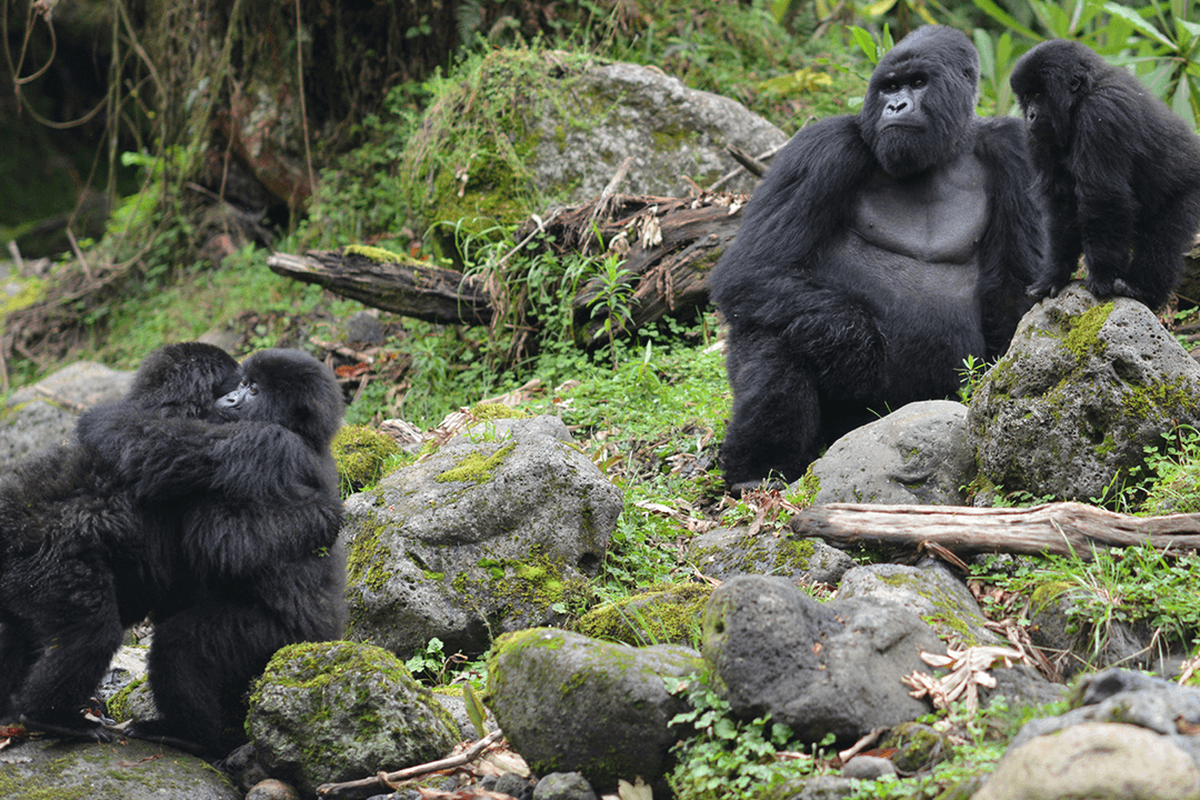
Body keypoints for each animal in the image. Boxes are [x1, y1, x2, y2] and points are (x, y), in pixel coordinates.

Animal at [76, 347, 348, 753]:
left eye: (254, 390)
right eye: (244, 383)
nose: (231, 398)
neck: (303, 435)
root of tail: (329, 637)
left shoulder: (259, 441)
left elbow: (225, 544)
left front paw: (101, 419)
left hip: (276, 638)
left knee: (180, 645)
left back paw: (186, 733)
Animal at [705, 25, 1046, 491]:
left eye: (917, 83)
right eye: (889, 86)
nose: (895, 105)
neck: (944, 151)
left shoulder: (1013, 150)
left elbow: (1014, 291)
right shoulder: (823, 147)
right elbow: (755, 268)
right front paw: (858, 349)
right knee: (778, 328)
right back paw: (756, 470)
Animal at [1012, 39, 1200, 309]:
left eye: (1038, 95)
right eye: (1026, 97)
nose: (1030, 115)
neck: (1081, 97)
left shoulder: (1101, 112)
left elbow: (1103, 197)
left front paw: (1102, 275)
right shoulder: (1038, 137)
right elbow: (1061, 205)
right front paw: (1054, 275)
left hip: (1191, 189)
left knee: (1164, 237)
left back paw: (1143, 289)